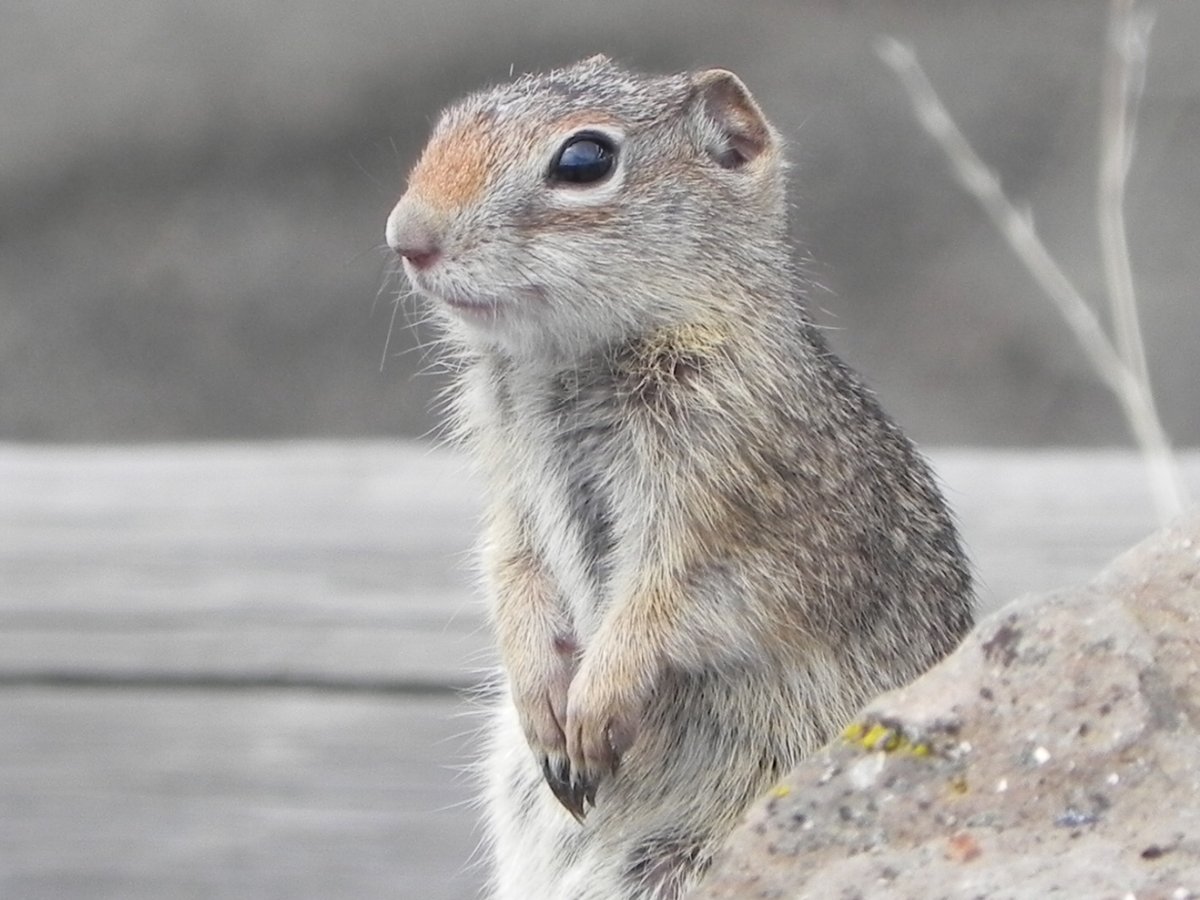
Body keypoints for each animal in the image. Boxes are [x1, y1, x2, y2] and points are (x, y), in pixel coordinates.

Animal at [385, 55, 974, 900]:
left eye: (584, 160)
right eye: (450, 123)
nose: (407, 239)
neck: (573, 360)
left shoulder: (733, 525)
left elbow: (662, 610)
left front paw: (593, 706)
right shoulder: (510, 504)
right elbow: (512, 573)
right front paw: (541, 698)